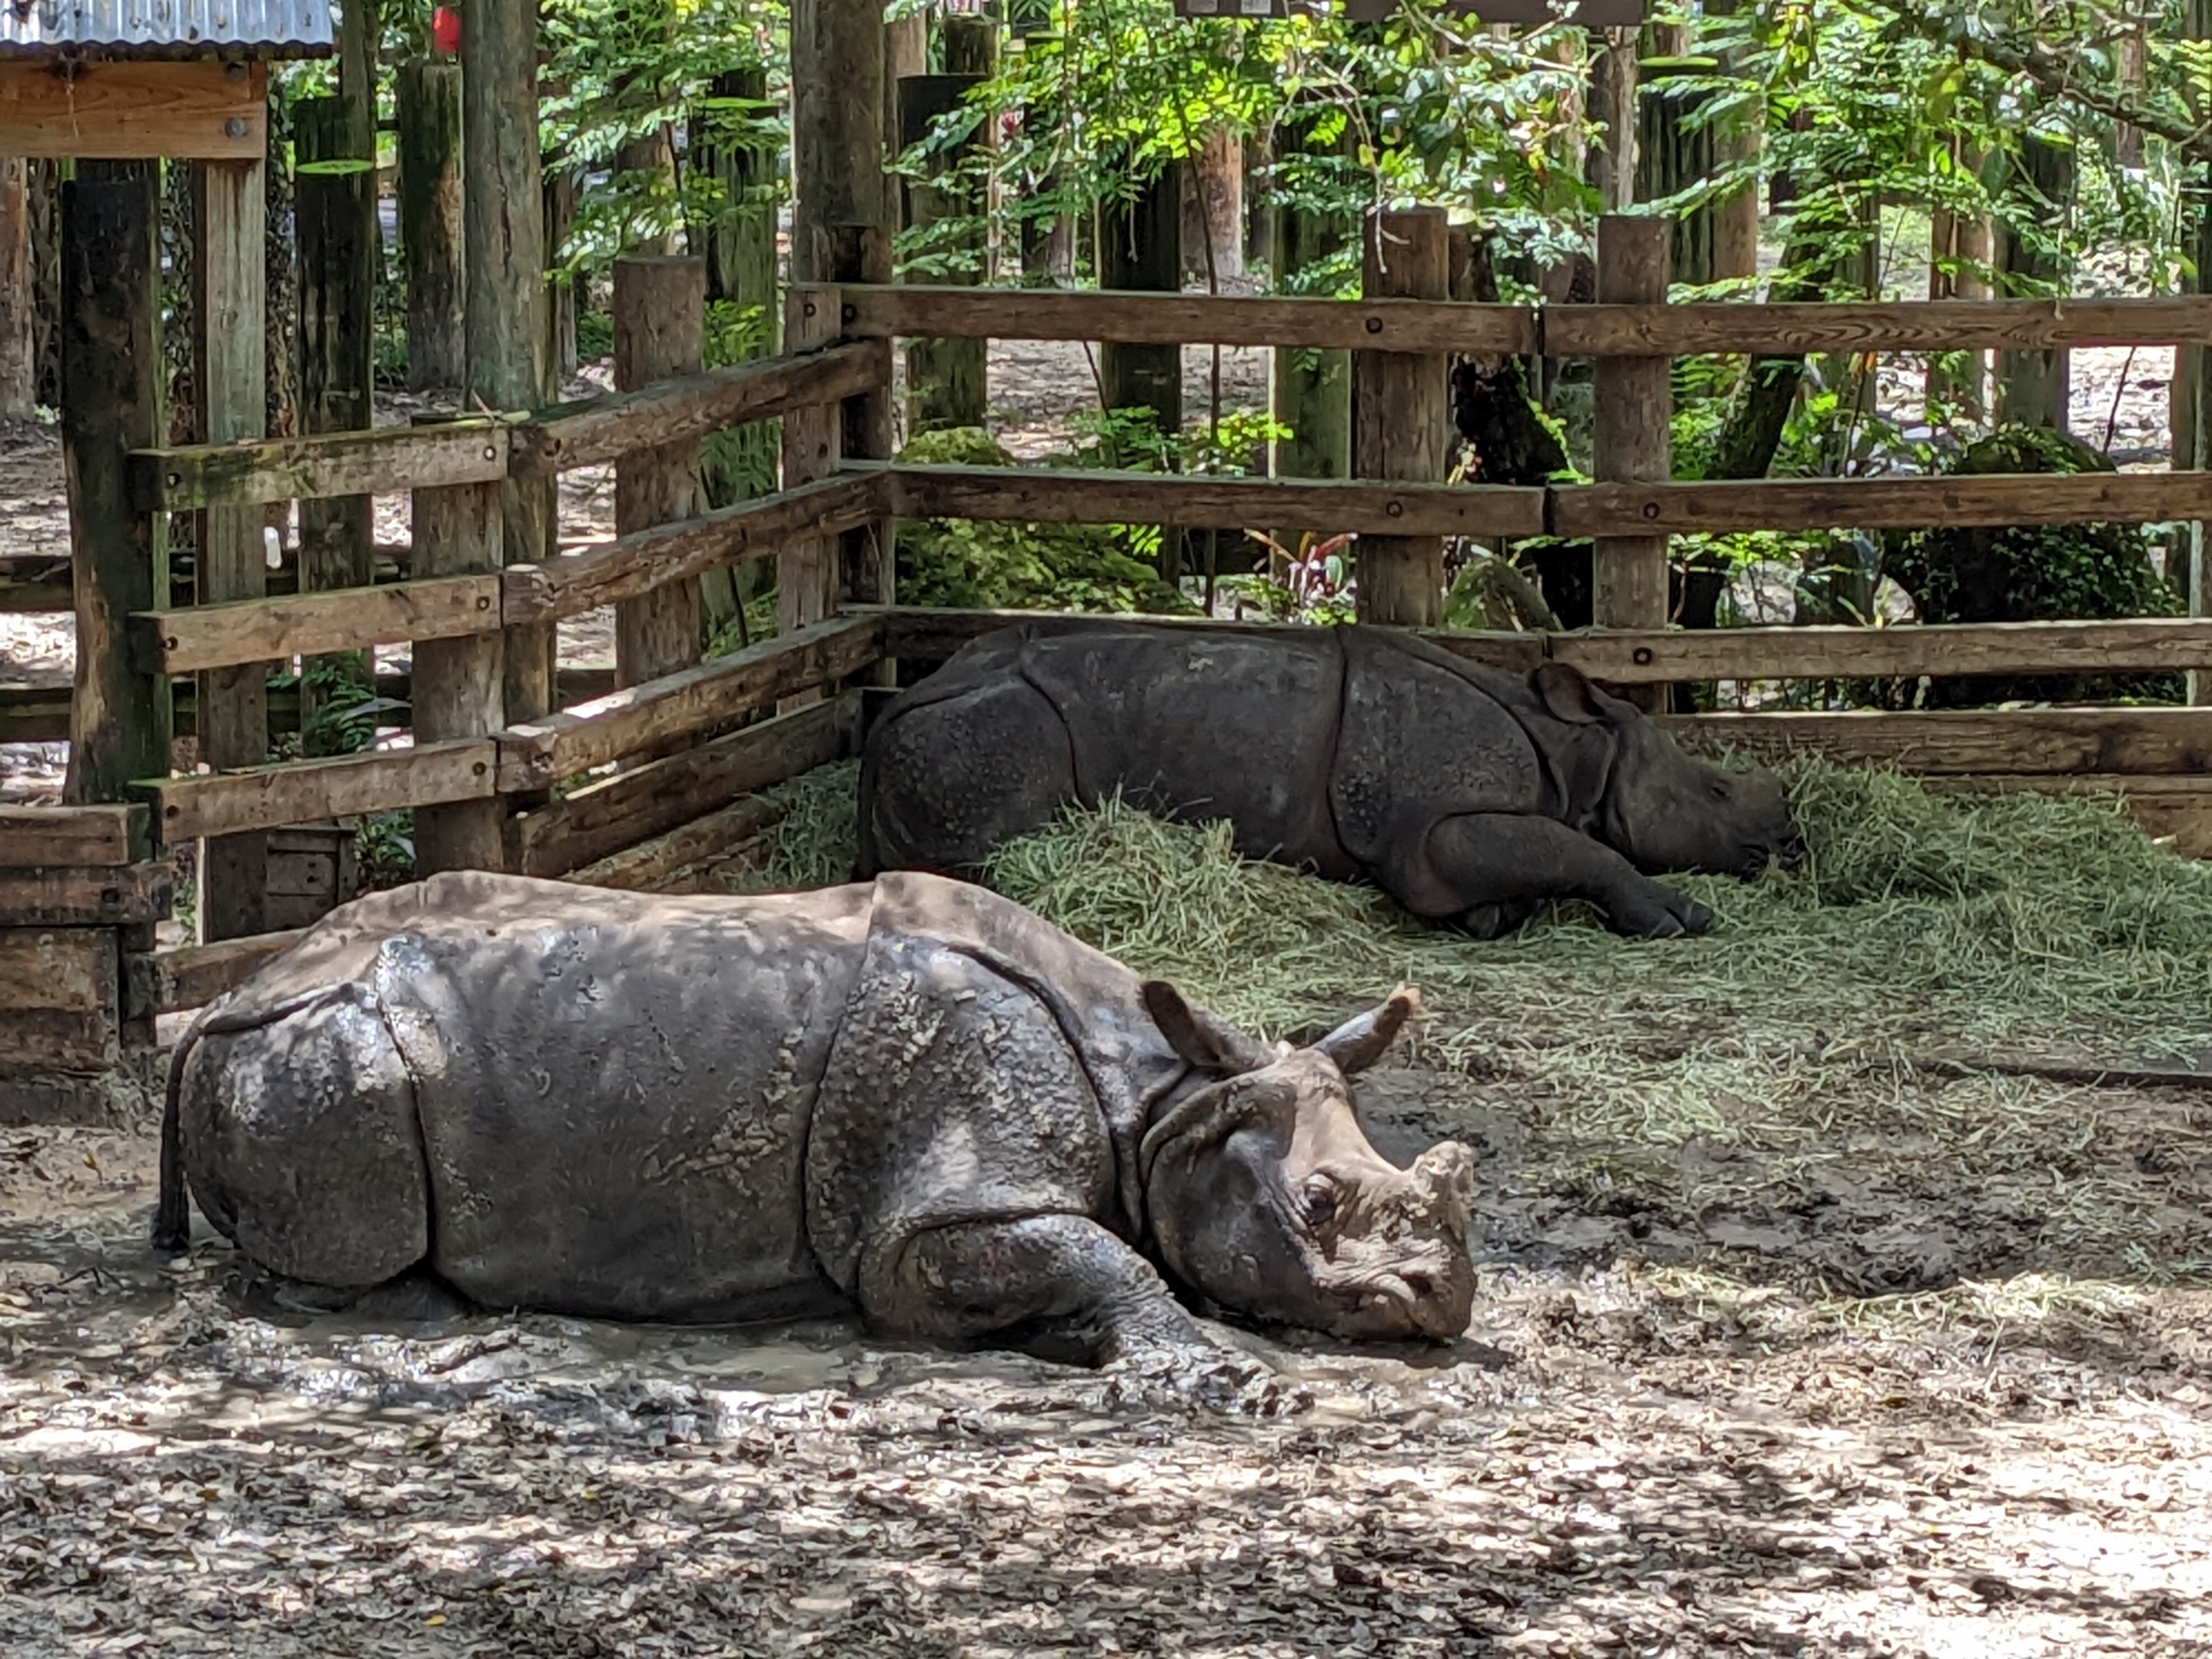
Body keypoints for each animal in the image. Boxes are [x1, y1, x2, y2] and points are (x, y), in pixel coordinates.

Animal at [152, 870, 1477, 1382]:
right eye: (1317, 1205)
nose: (1436, 1305)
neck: (1164, 1099)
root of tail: (217, 996)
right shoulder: (928, 1221)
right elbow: (1095, 1252)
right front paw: (1212, 1362)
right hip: (321, 1049)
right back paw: (429, 1311)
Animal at [860, 621, 1800, 939]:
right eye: (1717, 793)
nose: (1791, 841)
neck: (1577, 751)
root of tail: (880, 724)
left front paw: (1497, 917)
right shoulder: (1428, 833)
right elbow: (1577, 849)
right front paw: (1679, 920)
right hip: (993, 728)